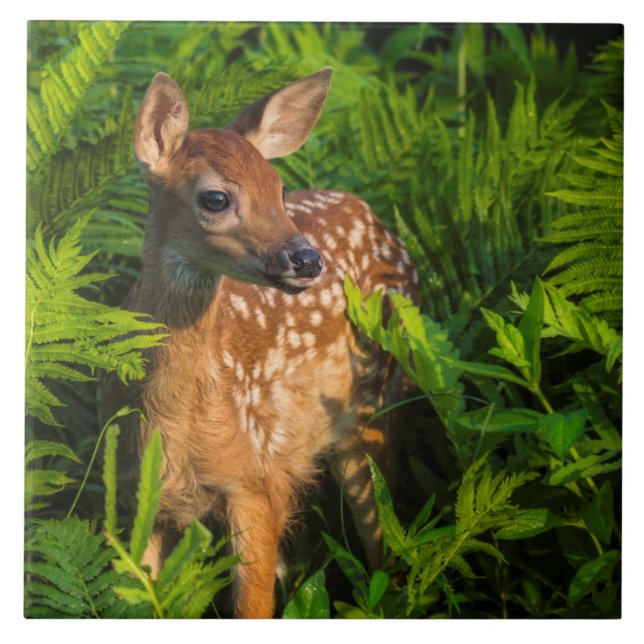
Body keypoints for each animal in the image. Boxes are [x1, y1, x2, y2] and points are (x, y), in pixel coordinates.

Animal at [106, 67, 418, 618]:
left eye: (277, 187)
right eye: (215, 198)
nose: (307, 260)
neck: (175, 421)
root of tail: (381, 224)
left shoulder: (255, 482)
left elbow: (252, 607)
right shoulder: (144, 501)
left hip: (376, 405)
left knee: (387, 539)